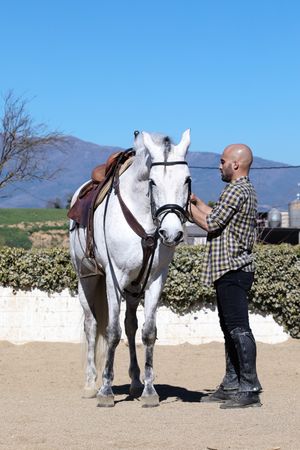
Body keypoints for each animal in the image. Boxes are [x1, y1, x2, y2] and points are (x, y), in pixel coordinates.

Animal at [69, 128, 191, 406]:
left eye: (187, 180)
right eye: (153, 182)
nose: (172, 233)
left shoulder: (156, 279)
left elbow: (148, 332)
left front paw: (149, 390)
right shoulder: (115, 278)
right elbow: (112, 332)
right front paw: (106, 391)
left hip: (135, 288)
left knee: (131, 325)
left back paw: (135, 382)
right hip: (87, 278)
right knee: (92, 324)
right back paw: (90, 383)